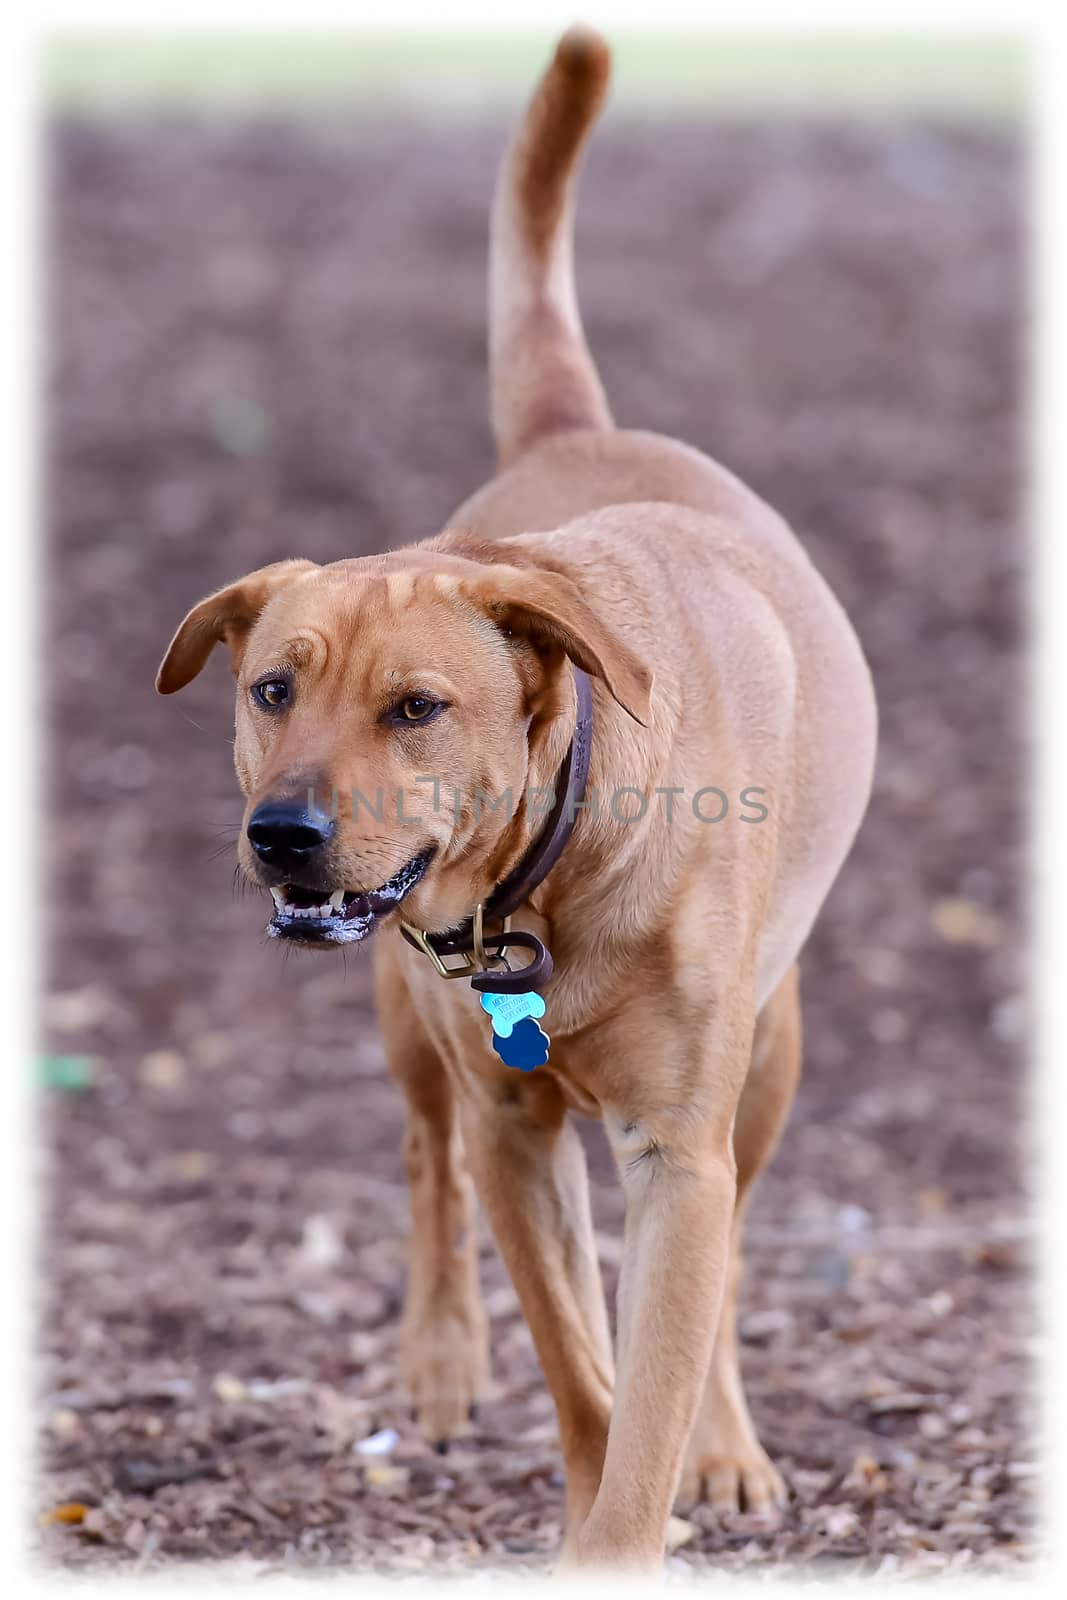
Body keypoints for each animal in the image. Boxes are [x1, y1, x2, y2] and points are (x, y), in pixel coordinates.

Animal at [156, 28, 876, 1574]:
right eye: (272, 690)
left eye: (415, 708)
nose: (282, 835)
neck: (543, 881)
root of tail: (579, 432)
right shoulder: (509, 1126)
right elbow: (576, 1361)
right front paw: (575, 1468)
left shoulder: (678, 1147)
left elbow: (658, 1361)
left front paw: (662, 1479)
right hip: (411, 1038)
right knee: (425, 1161)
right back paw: (439, 1361)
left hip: (771, 1052)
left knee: (726, 1260)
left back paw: (724, 1440)